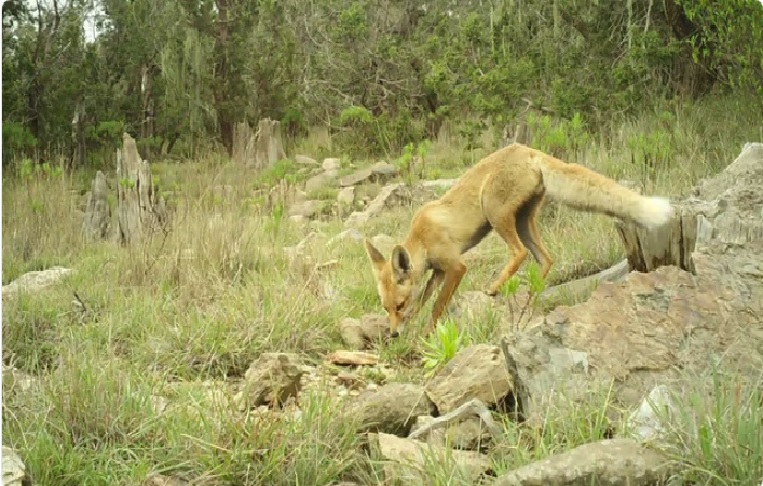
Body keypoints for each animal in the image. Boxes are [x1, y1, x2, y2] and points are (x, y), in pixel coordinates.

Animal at [362, 142, 672, 336]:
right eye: (387, 308)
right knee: (546, 258)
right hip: (523, 221)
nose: (393, 335)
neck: (422, 239)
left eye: (398, 305)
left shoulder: (456, 267)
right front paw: (412, 324)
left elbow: (437, 305)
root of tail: (528, 150)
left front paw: (426, 331)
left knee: (520, 253)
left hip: (495, 213)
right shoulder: (438, 271)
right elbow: (425, 298)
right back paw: (531, 296)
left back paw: (496, 287)